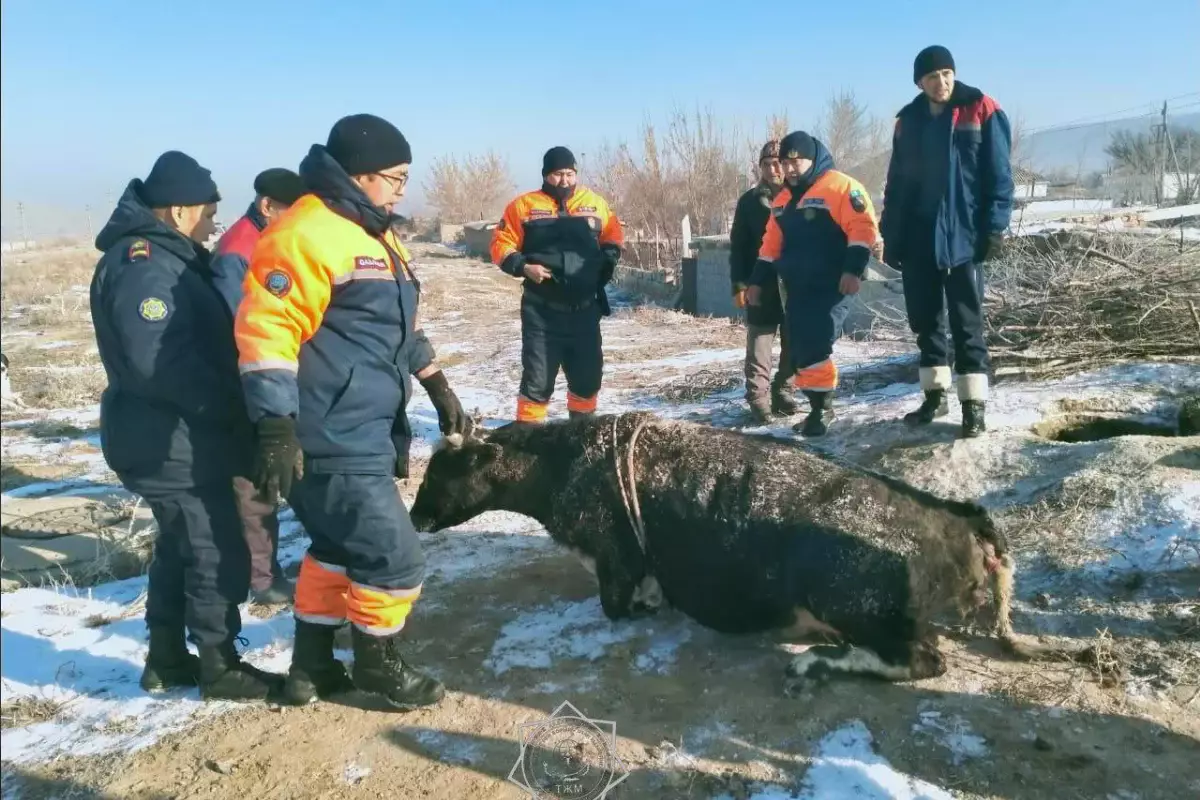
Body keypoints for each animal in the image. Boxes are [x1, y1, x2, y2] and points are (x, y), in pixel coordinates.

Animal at [408, 412, 1036, 690]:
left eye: (443, 468)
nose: (414, 516)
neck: (566, 462)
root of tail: (955, 514)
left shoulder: (615, 558)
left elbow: (617, 604)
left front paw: (646, 607)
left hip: (852, 600)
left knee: (920, 660)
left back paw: (814, 662)